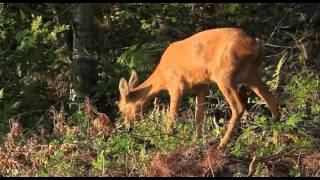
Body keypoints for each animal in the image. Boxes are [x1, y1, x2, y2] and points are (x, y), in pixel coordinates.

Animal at [117, 27, 278, 149]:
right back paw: (277, 141)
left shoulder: (176, 86)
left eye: (122, 109)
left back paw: (221, 145)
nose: (127, 128)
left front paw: (167, 142)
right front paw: (197, 141)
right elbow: (199, 116)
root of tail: (256, 44)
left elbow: (171, 117)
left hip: (225, 75)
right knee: (273, 101)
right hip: (251, 74)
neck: (162, 76)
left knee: (239, 107)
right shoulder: (201, 86)